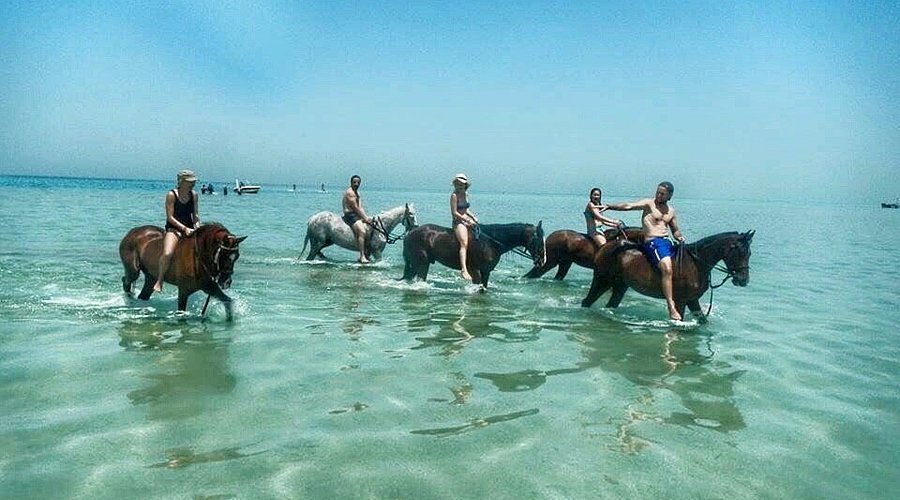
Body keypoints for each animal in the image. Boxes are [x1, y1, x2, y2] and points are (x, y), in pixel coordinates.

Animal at [119, 223, 247, 320]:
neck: (197, 258)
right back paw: (128, 299)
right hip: (133, 271)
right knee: (126, 280)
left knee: (143, 294)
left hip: (151, 278)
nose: (226, 282)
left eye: (236, 256)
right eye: (224, 255)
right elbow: (181, 312)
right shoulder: (184, 290)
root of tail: (132, 232)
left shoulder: (209, 287)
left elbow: (228, 302)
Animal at [400, 222, 545, 288]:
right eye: (539, 240)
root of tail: (409, 233)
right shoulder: (475, 271)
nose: (542, 261)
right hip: (422, 264)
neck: (490, 242)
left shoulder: (486, 272)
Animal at [581, 231, 755, 323]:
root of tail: (604, 247)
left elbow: (703, 321)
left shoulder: (692, 300)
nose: (743, 280)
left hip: (620, 285)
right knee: (587, 301)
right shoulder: (681, 301)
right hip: (602, 280)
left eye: (749, 253)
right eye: (739, 252)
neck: (696, 263)